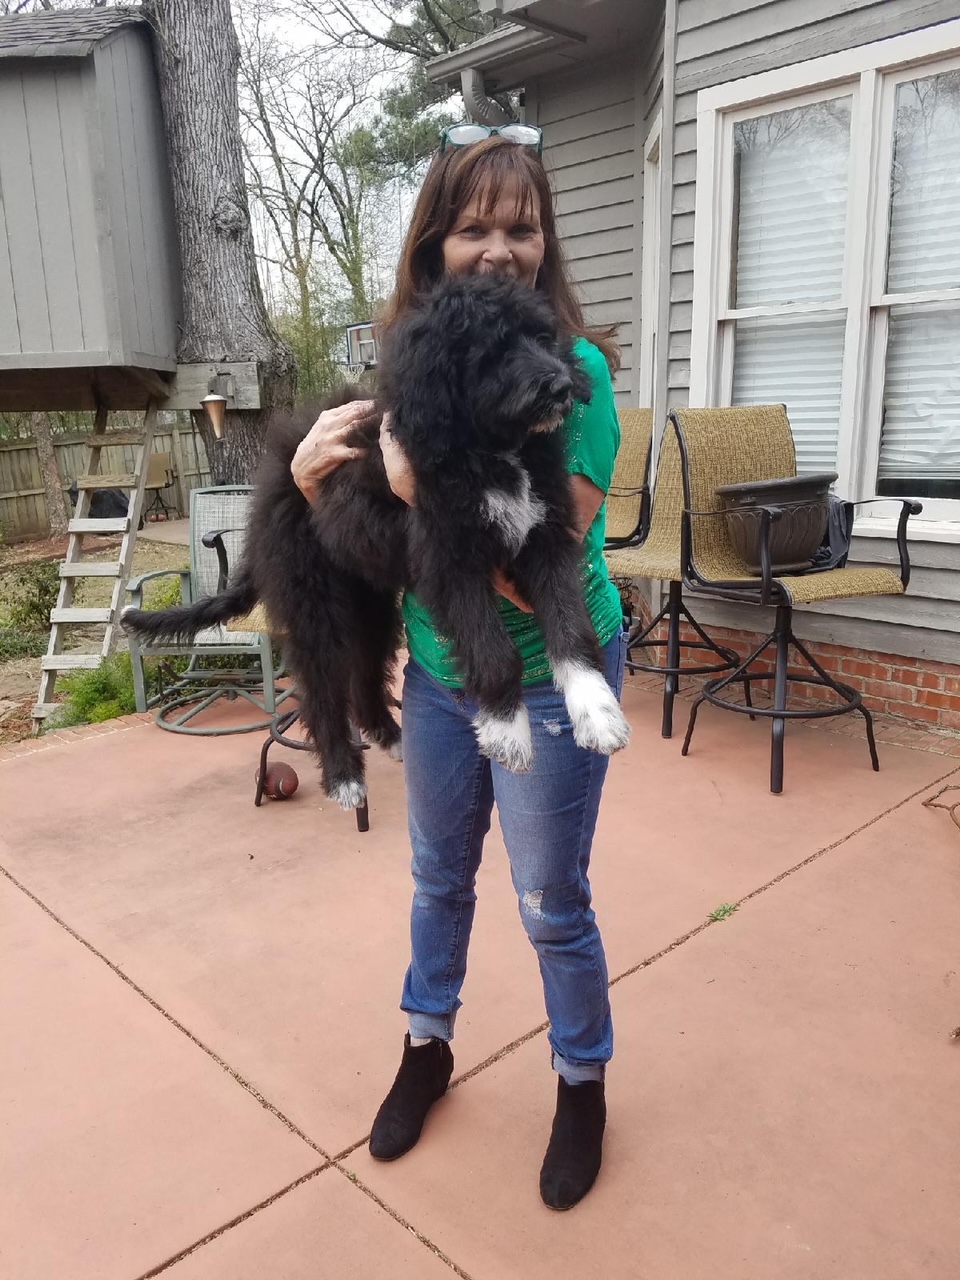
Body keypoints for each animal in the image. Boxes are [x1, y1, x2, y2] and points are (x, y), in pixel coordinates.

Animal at [122, 275, 630, 806]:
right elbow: (494, 652)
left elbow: (572, 628)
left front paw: (598, 713)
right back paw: (345, 775)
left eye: (542, 336)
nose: (562, 386)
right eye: (493, 349)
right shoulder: (450, 561)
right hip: (314, 604)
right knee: (322, 694)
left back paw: (393, 739)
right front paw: (508, 733)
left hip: (371, 609)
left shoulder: (546, 538)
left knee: (362, 684)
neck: (491, 450)